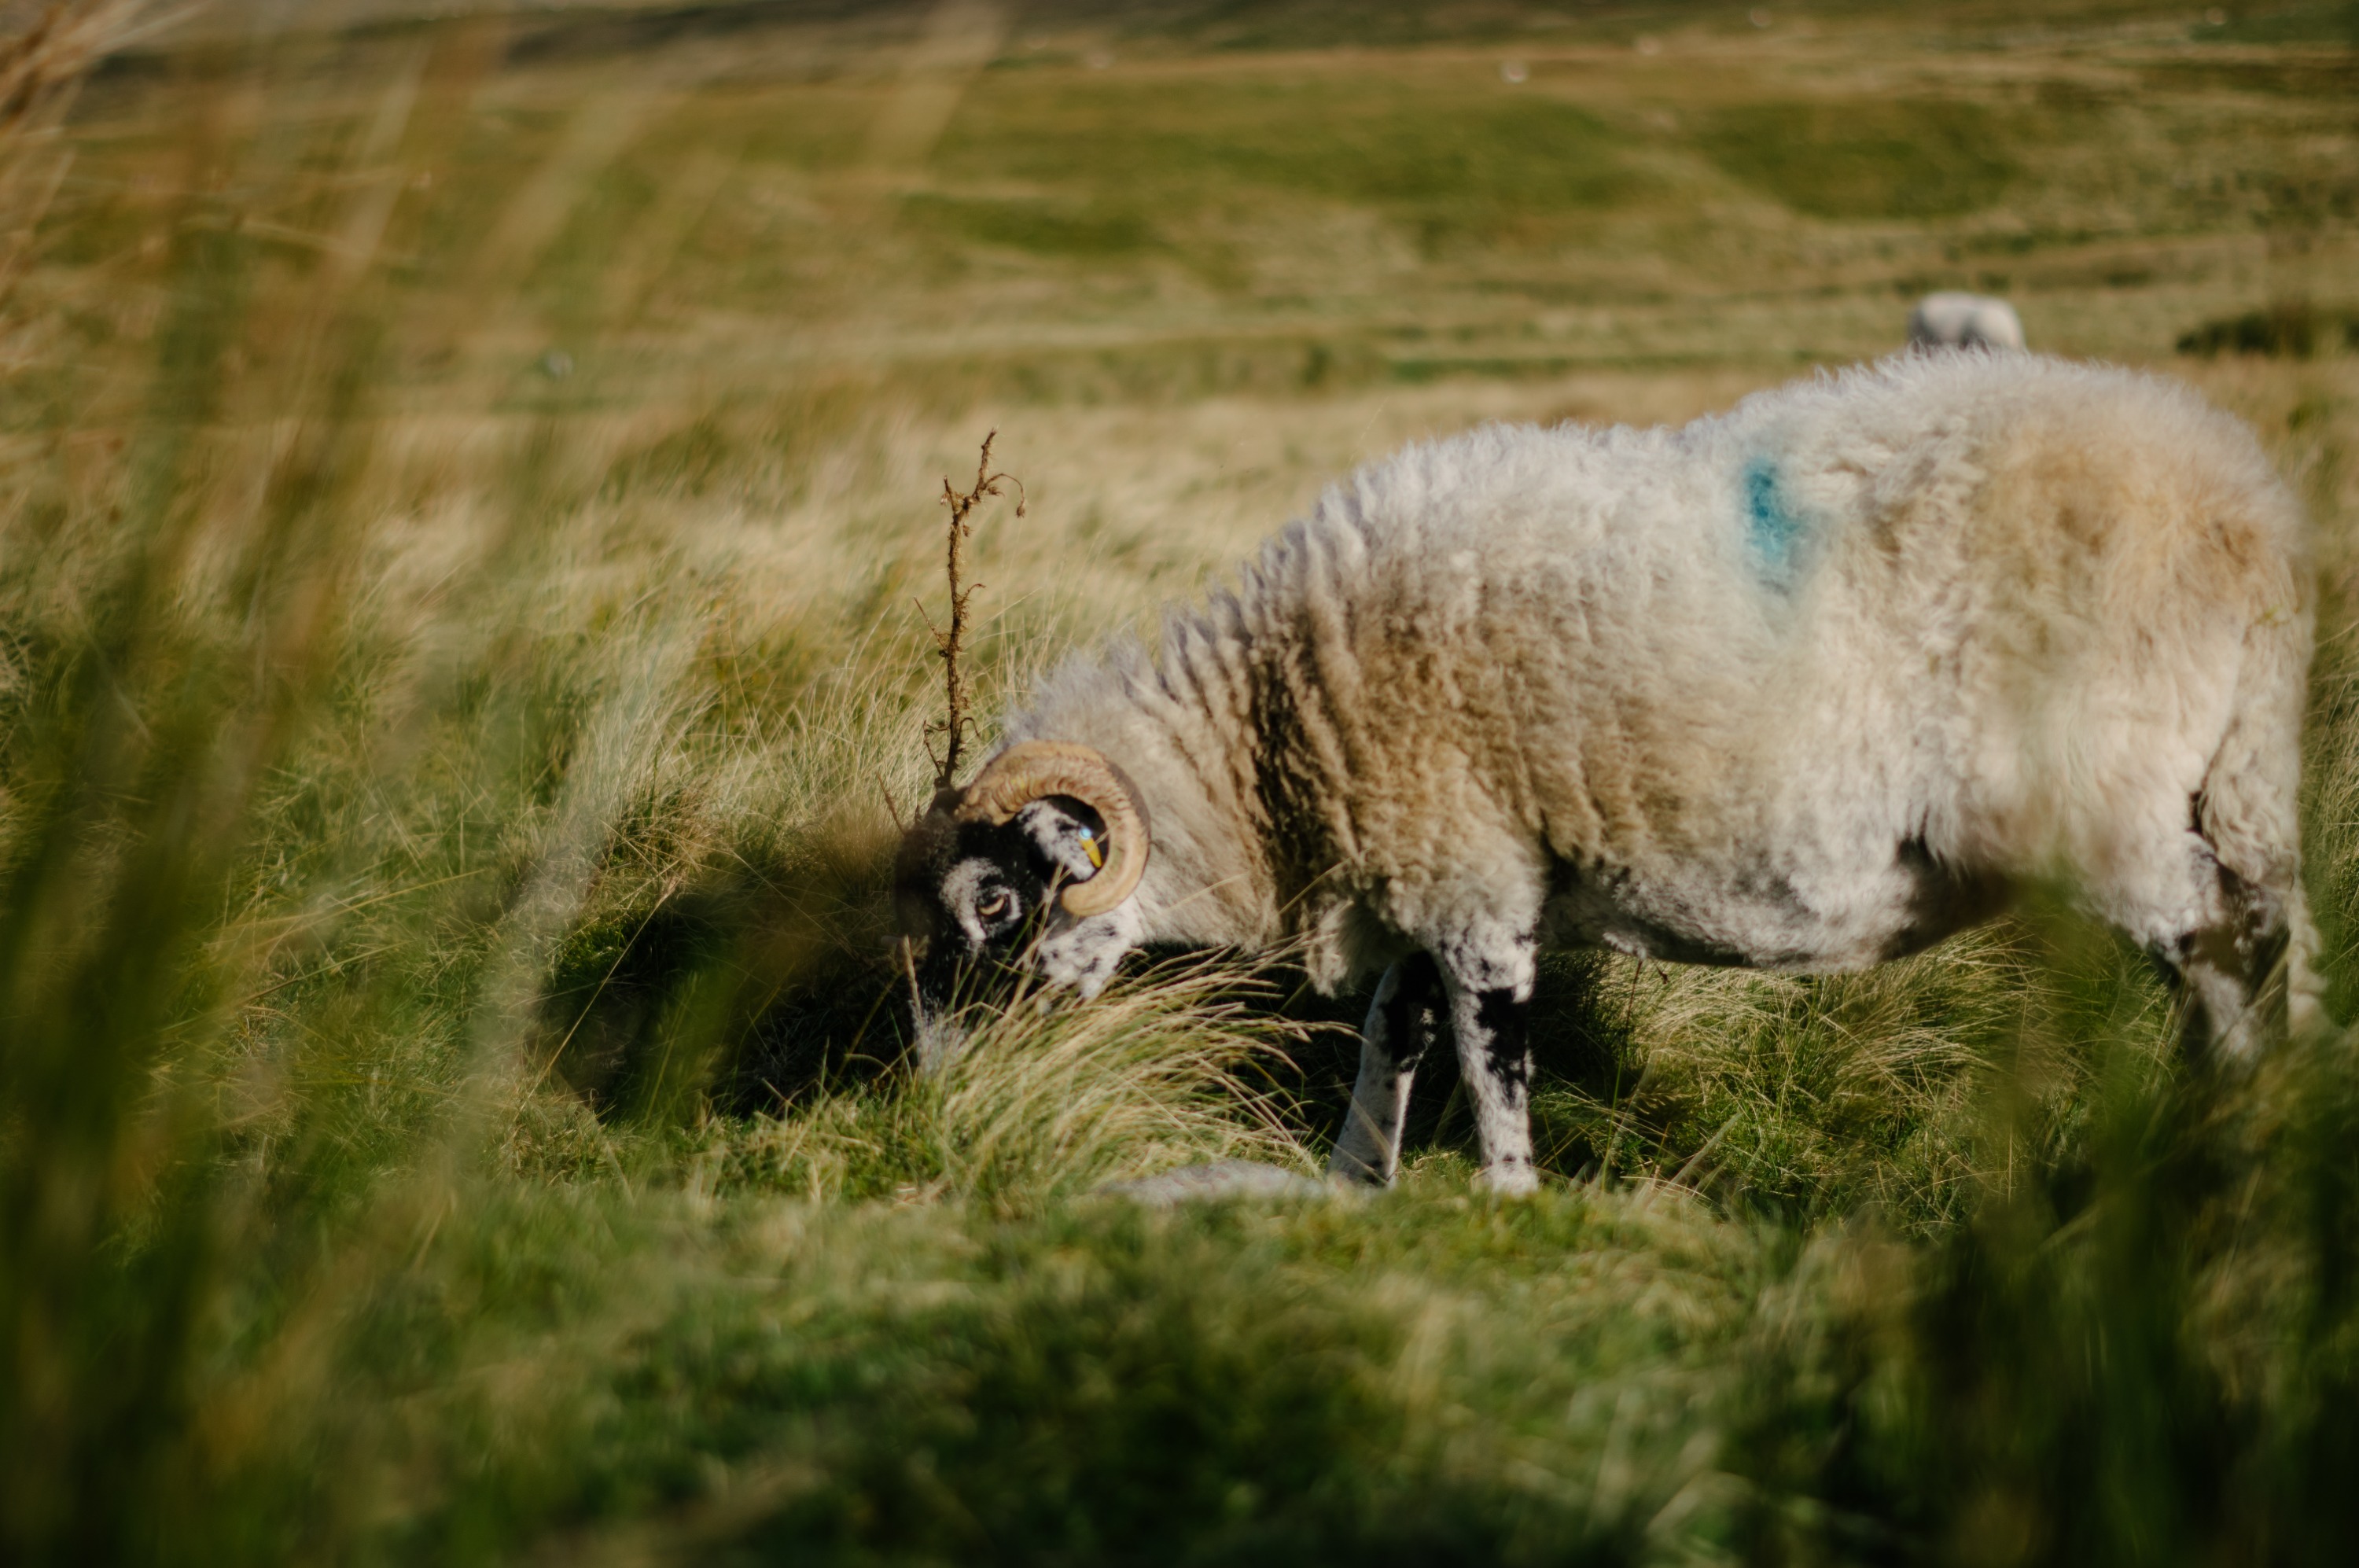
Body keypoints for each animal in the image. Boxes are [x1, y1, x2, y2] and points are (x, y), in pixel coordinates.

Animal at [892, 351, 2312, 1188]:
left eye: (998, 903)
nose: (939, 1093)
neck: (1268, 735)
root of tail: (2246, 510)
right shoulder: (1441, 866)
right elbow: (1396, 1033)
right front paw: (1361, 1181)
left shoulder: (1469, 874)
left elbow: (1488, 1050)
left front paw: (1507, 1201)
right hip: (2206, 781)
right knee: (2248, 941)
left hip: (2097, 792)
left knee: (2231, 941)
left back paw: (2226, 1153)